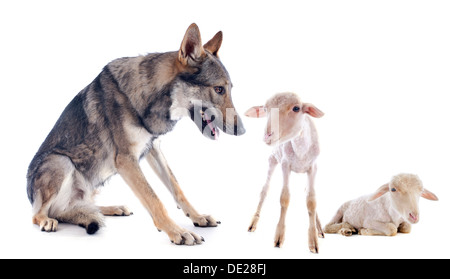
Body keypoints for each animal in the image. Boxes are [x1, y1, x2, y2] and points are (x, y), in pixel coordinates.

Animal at [27, 24, 246, 247]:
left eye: (229, 89)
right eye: (218, 89)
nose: (243, 130)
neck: (150, 97)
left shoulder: (153, 149)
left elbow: (177, 189)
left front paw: (197, 217)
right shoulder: (126, 160)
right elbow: (155, 200)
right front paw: (178, 231)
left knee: (82, 207)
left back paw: (112, 209)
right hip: (60, 162)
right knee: (41, 214)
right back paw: (47, 220)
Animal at [244, 92, 326, 254]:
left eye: (296, 108)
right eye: (265, 109)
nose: (267, 135)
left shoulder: (313, 167)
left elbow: (311, 201)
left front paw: (313, 239)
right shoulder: (285, 163)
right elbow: (285, 198)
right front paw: (279, 237)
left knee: (307, 192)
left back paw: (319, 228)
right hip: (272, 159)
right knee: (264, 190)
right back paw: (253, 223)